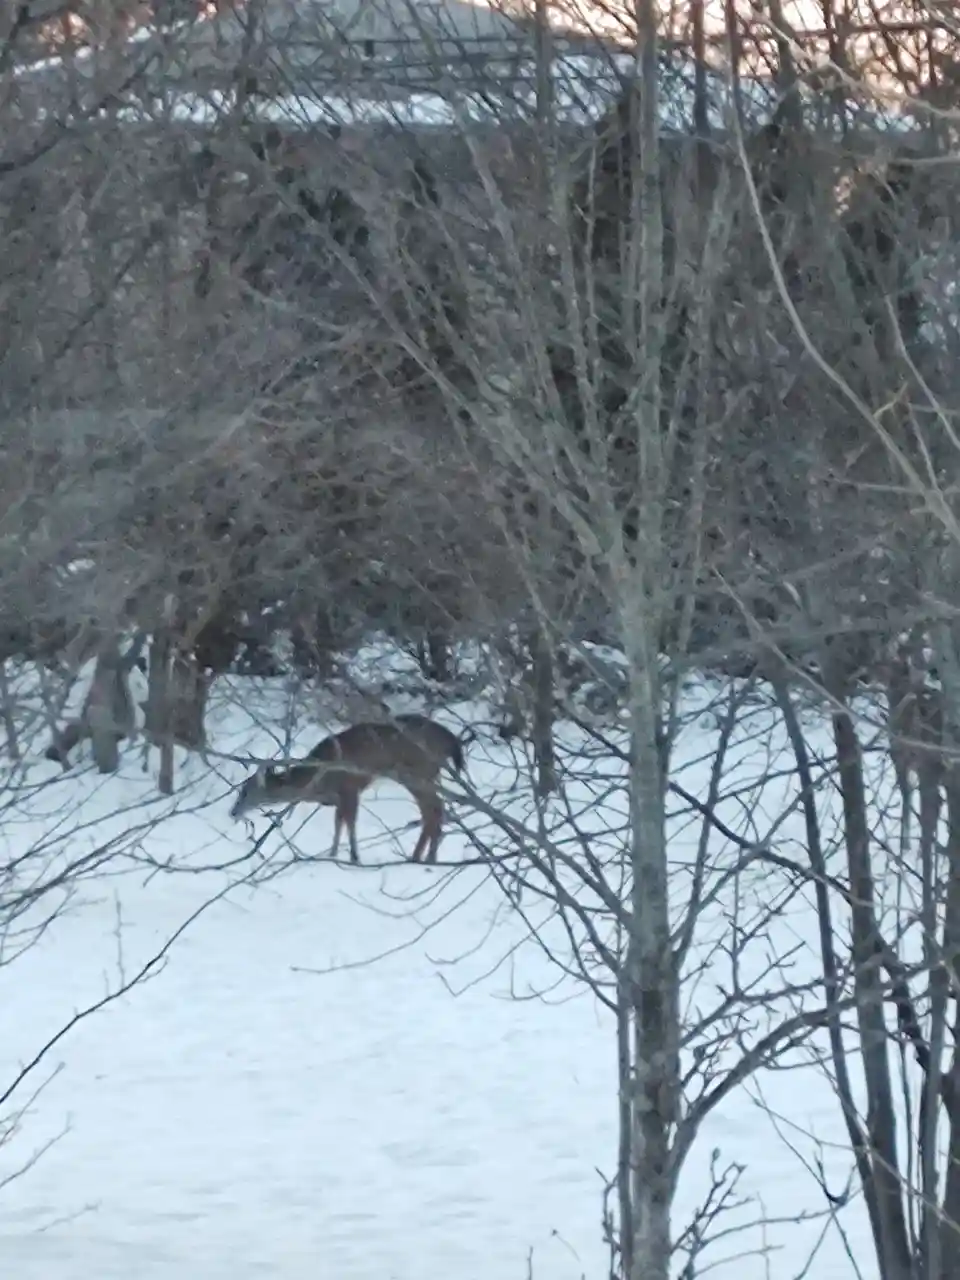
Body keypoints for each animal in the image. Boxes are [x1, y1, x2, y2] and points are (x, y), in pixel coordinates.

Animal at [229, 713, 472, 864]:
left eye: (245, 791)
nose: (233, 812)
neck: (317, 779)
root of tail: (451, 740)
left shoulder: (350, 787)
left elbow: (350, 822)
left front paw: (354, 857)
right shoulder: (339, 797)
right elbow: (339, 822)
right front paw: (333, 853)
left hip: (418, 772)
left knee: (433, 810)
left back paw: (419, 857)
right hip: (429, 774)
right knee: (437, 809)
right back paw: (428, 857)